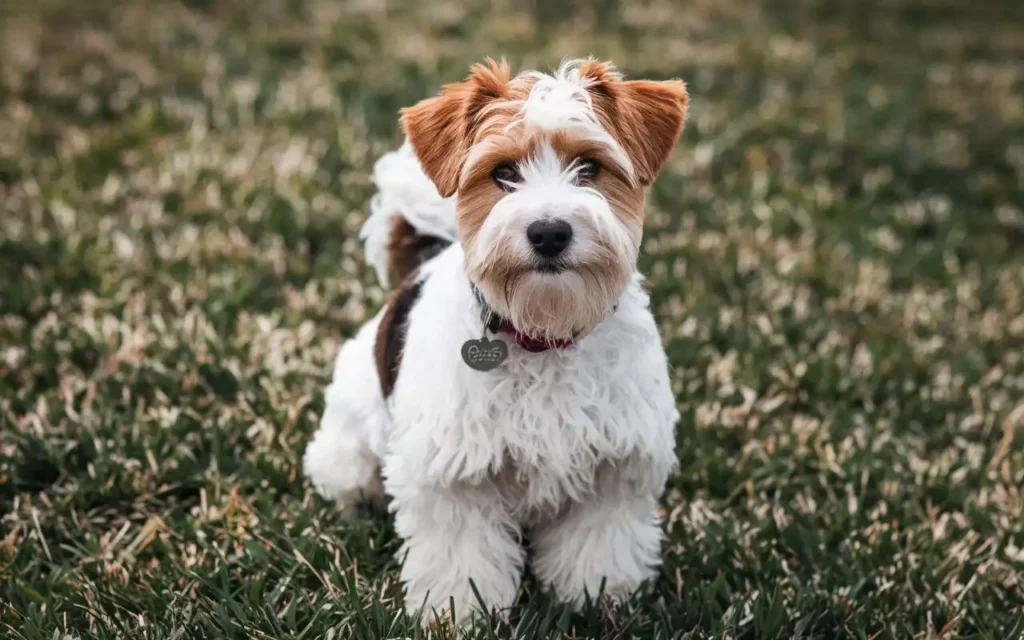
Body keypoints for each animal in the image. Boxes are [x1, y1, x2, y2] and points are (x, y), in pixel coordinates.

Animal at [303, 57, 688, 626]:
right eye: (503, 172)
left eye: (589, 167)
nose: (549, 232)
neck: (543, 334)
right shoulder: (452, 474)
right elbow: (462, 554)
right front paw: (458, 612)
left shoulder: (616, 465)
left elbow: (598, 542)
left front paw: (597, 597)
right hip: (352, 436)